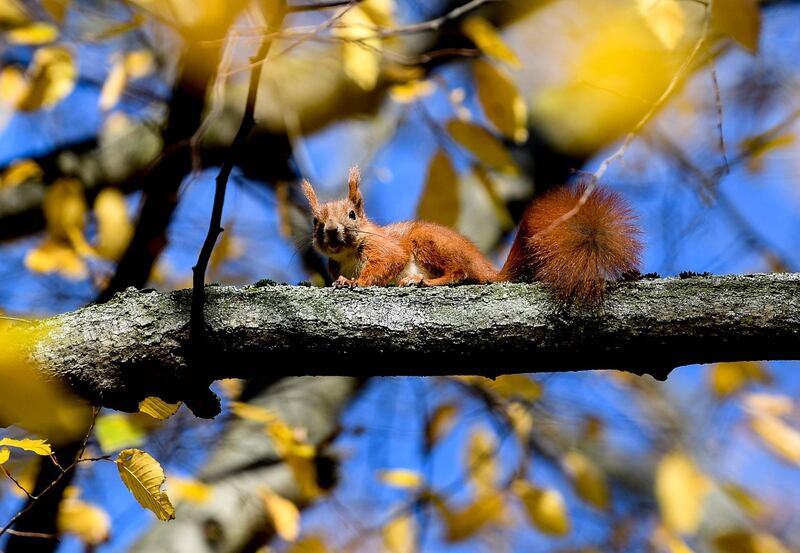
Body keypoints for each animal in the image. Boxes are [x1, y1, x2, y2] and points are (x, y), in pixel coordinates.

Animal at [302, 165, 644, 302]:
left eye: (352, 215)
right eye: (316, 222)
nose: (331, 231)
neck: (349, 254)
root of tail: (486, 267)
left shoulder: (384, 247)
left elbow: (386, 263)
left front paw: (355, 282)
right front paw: (341, 280)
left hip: (430, 242)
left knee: (460, 272)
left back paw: (422, 280)